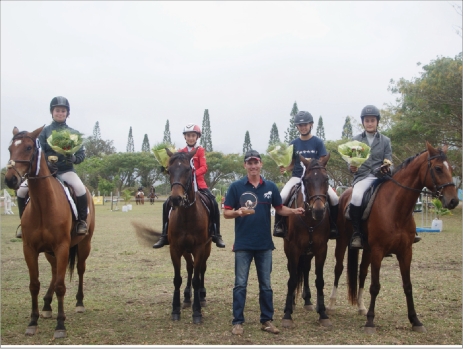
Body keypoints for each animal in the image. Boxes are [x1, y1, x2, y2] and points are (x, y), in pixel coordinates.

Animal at [3, 125, 95, 338]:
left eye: (28, 148)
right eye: (10, 148)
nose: (10, 179)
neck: (43, 205)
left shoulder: (62, 247)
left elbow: (61, 285)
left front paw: (60, 325)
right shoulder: (30, 249)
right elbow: (34, 284)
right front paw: (33, 321)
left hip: (84, 244)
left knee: (80, 269)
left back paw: (79, 303)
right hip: (49, 251)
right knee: (54, 272)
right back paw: (46, 306)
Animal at [280, 154, 332, 328]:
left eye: (326, 179)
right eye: (306, 180)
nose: (319, 211)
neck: (309, 218)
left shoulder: (321, 249)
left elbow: (320, 280)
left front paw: (323, 313)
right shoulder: (293, 248)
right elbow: (292, 279)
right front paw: (287, 314)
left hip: (308, 252)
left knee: (306, 269)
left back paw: (308, 300)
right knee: (294, 271)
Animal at [328, 141, 458, 332]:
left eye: (451, 169)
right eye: (438, 168)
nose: (454, 201)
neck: (396, 208)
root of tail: (345, 193)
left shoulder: (405, 252)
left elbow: (408, 286)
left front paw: (415, 320)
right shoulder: (378, 251)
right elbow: (375, 286)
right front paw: (370, 322)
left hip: (367, 250)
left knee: (362, 273)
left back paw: (361, 306)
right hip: (343, 241)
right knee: (338, 269)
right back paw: (331, 304)